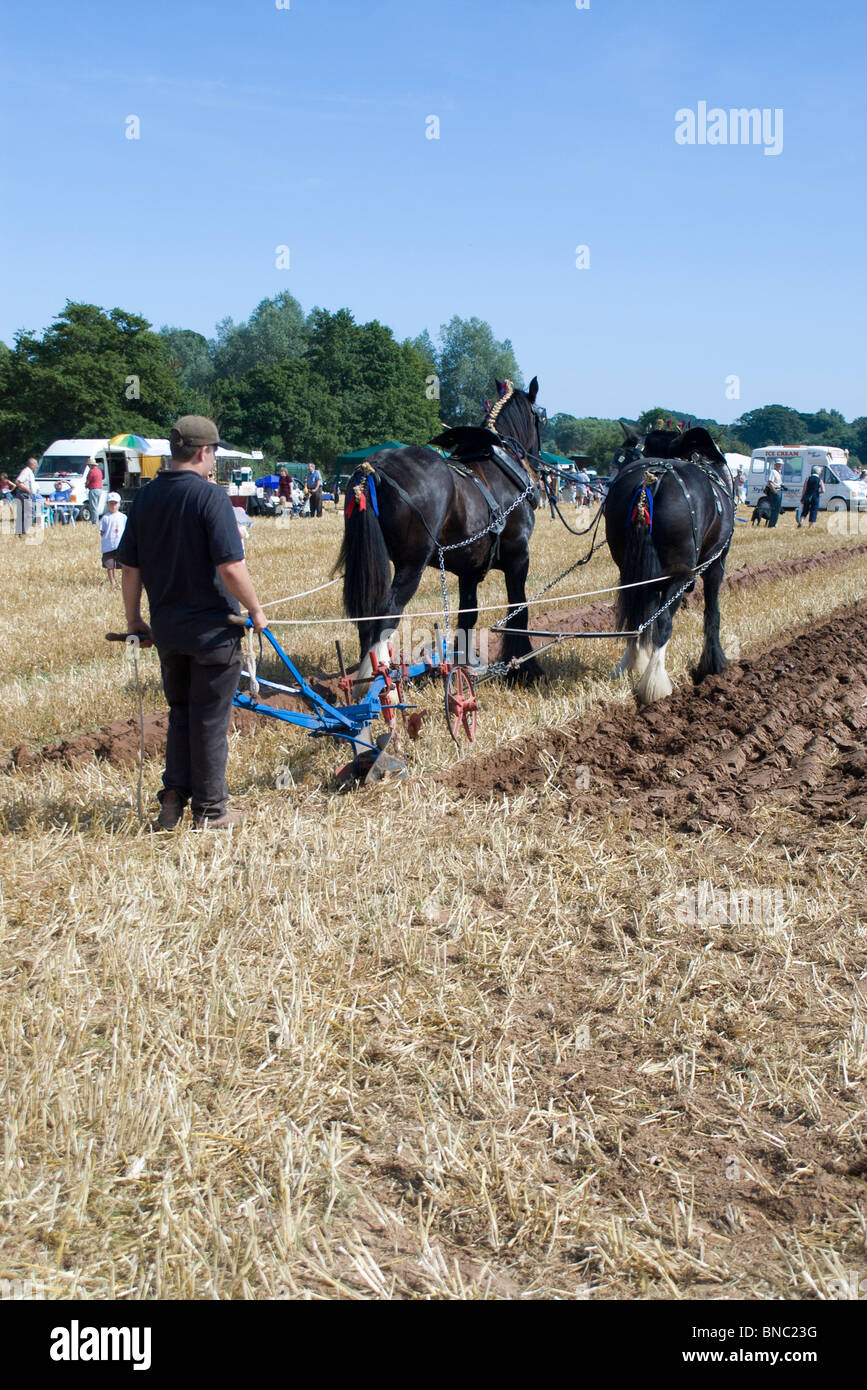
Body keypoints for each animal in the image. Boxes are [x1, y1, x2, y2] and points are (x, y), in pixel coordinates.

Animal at [334, 380, 544, 689]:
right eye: (540, 417)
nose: (539, 466)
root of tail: (373, 469)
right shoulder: (519, 557)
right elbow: (519, 610)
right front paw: (523, 668)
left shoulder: (470, 570)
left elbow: (468, 615)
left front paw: (464, 667)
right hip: (412, 565)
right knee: (387, 612)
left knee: (368, 615)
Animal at [605, 422, 733, 706]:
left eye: (623, 458)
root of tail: (652, 480)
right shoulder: (716, 564)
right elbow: (713, 613)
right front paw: (714, 664)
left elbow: (644, 617)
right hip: (680, 576)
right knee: (664, 623)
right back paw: (656, 685)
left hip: (634, 573)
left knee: (637, 618)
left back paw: (628, 667)